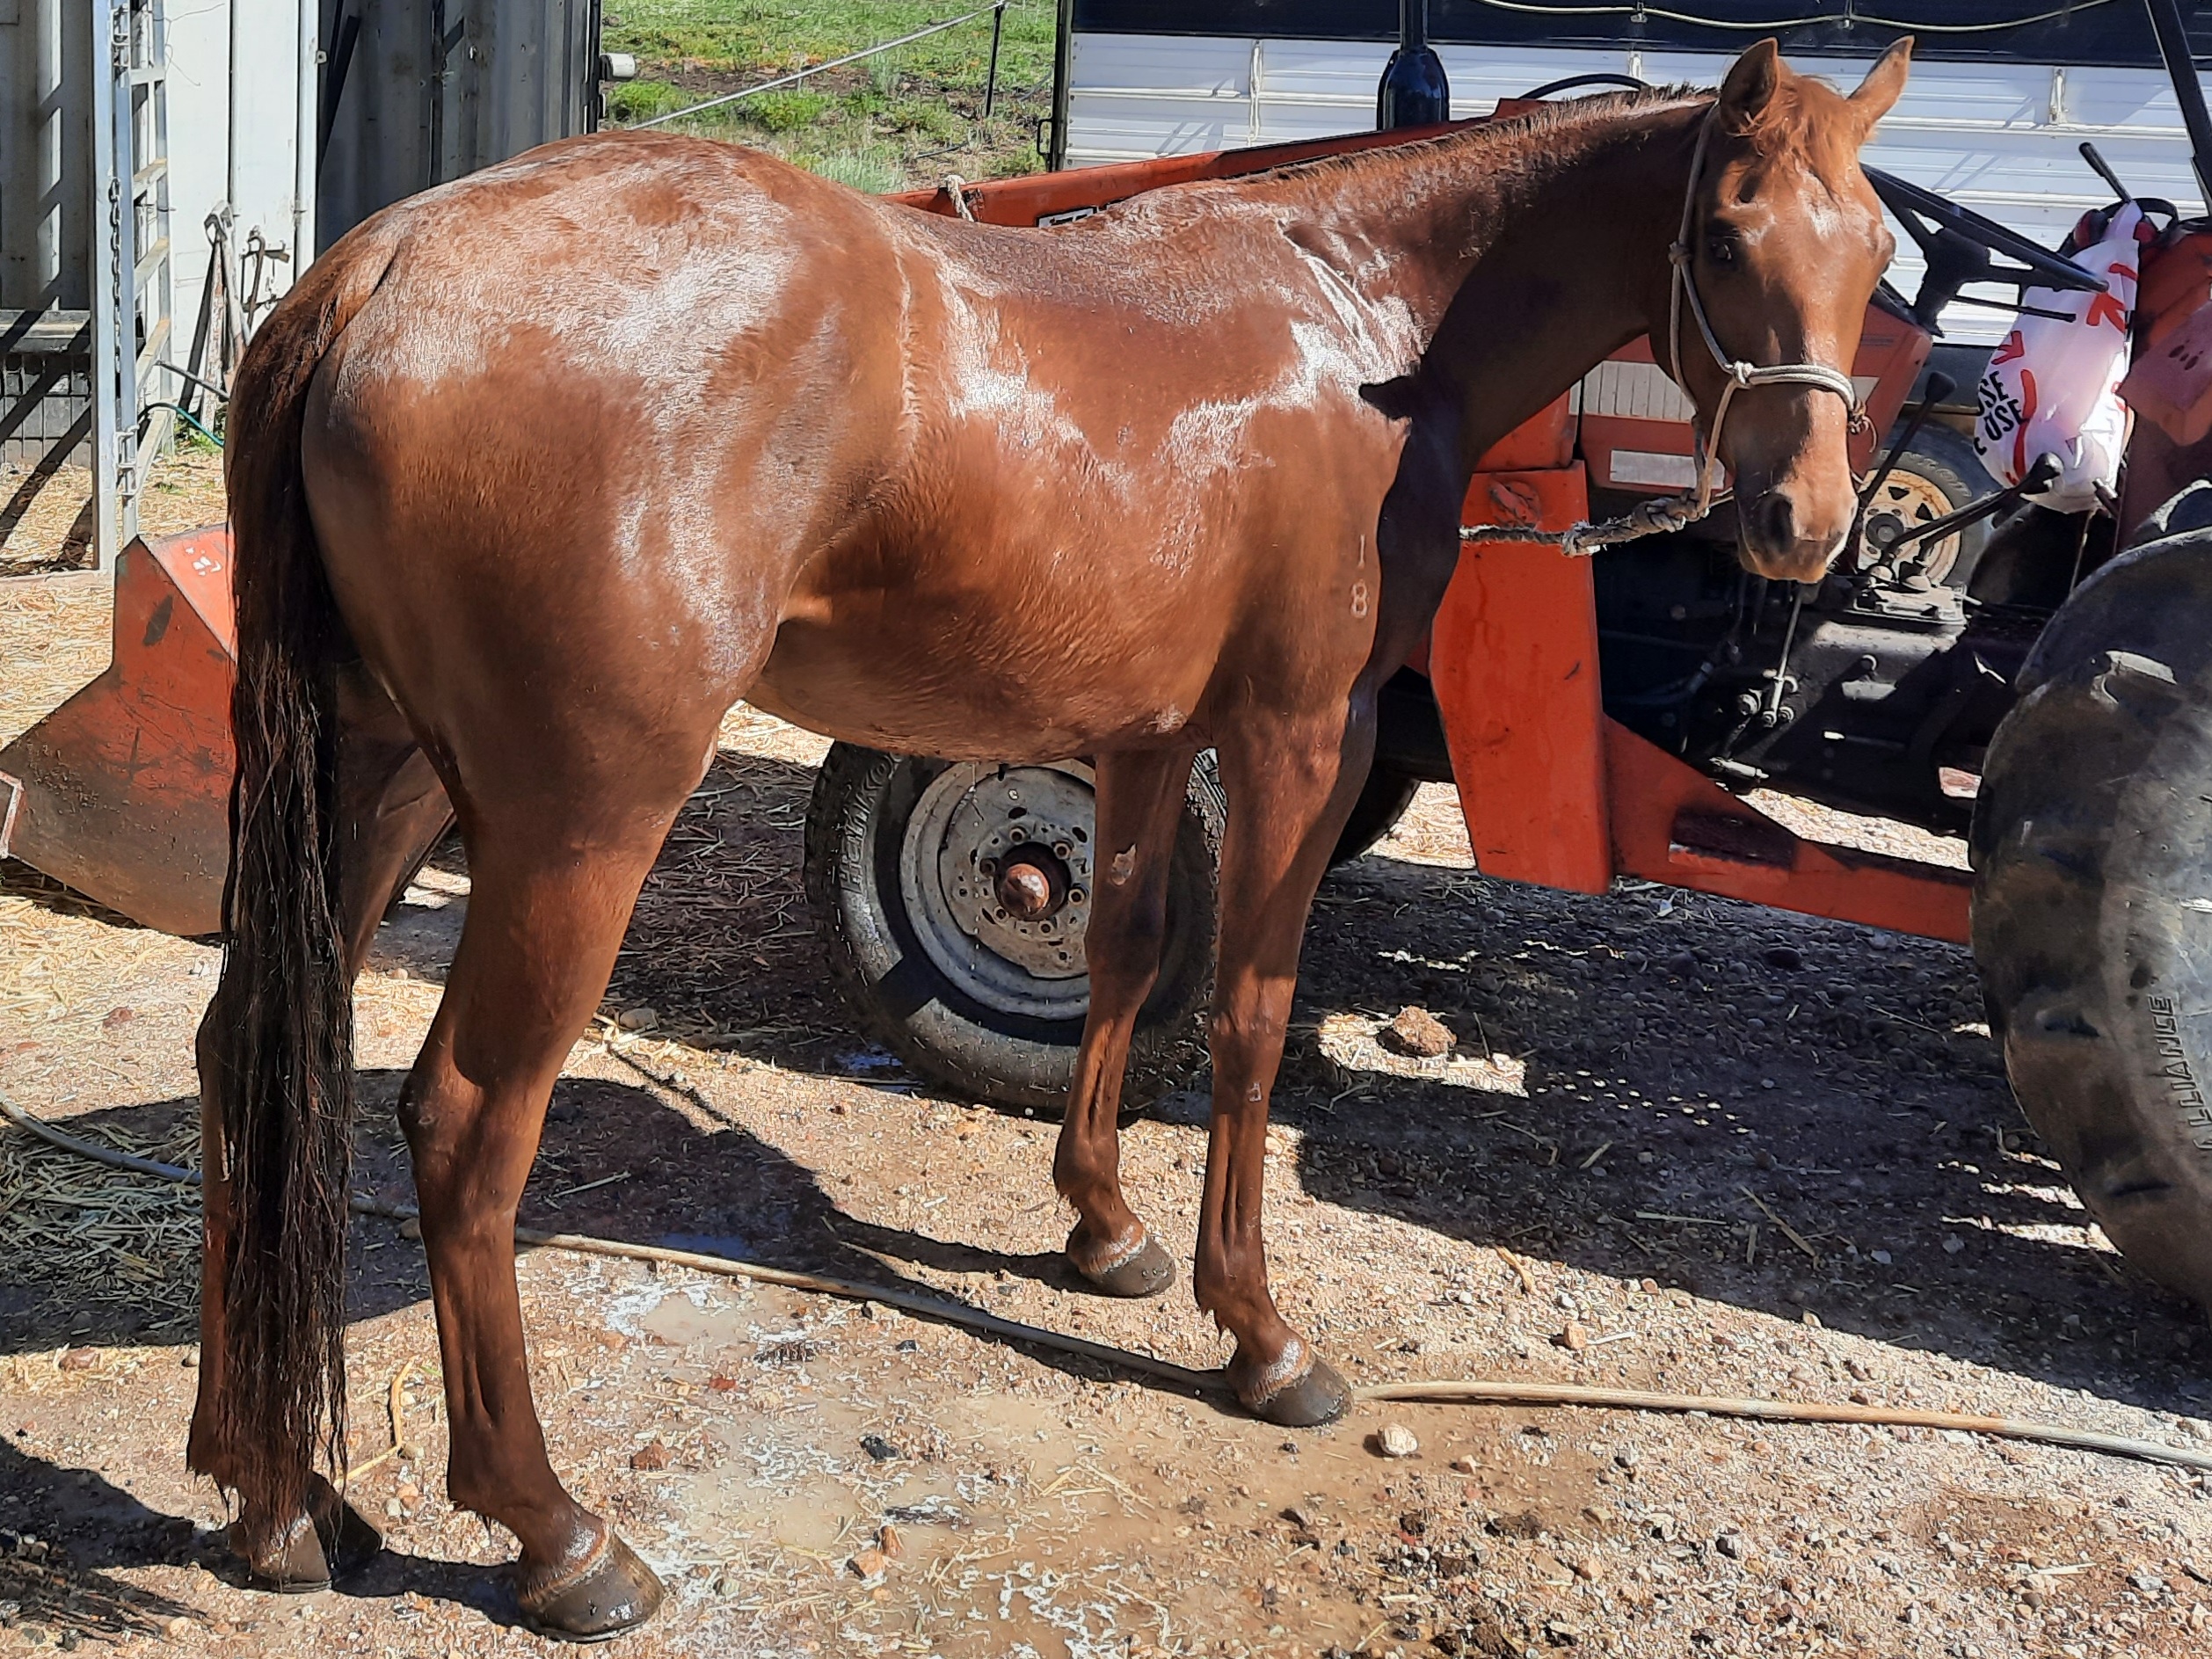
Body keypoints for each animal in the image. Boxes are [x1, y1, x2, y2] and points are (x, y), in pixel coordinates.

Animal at [190, 37, 1908, 1637]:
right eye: (1726, 238)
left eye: (1878, 247)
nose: (1805, 524)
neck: (1362, 320)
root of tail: (375, 272)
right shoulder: (1306, 734)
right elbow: (1251, 1017)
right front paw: (1259, 1332)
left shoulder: (1144, 734)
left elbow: (1124, 953)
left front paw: (1106, 1228)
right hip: (573, 826)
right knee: (469, 1120)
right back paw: (553, 1532)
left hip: (383, 779)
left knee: (248, 1047)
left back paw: (274, 1494)